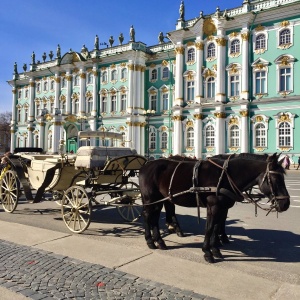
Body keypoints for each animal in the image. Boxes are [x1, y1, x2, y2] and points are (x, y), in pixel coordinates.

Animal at [139, 155, 290, 262]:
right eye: (275, 179)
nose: (286, 204)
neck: (224, 176)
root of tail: (146, 165)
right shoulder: (214, 206)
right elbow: (209, 227)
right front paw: (207, 252)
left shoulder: (222, 207)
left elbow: (217, 226)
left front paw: (216, 249)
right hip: (150, 199)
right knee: (147, 215)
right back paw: (150, 241)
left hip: (159, 200)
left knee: (155, 217)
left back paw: (160, 241)